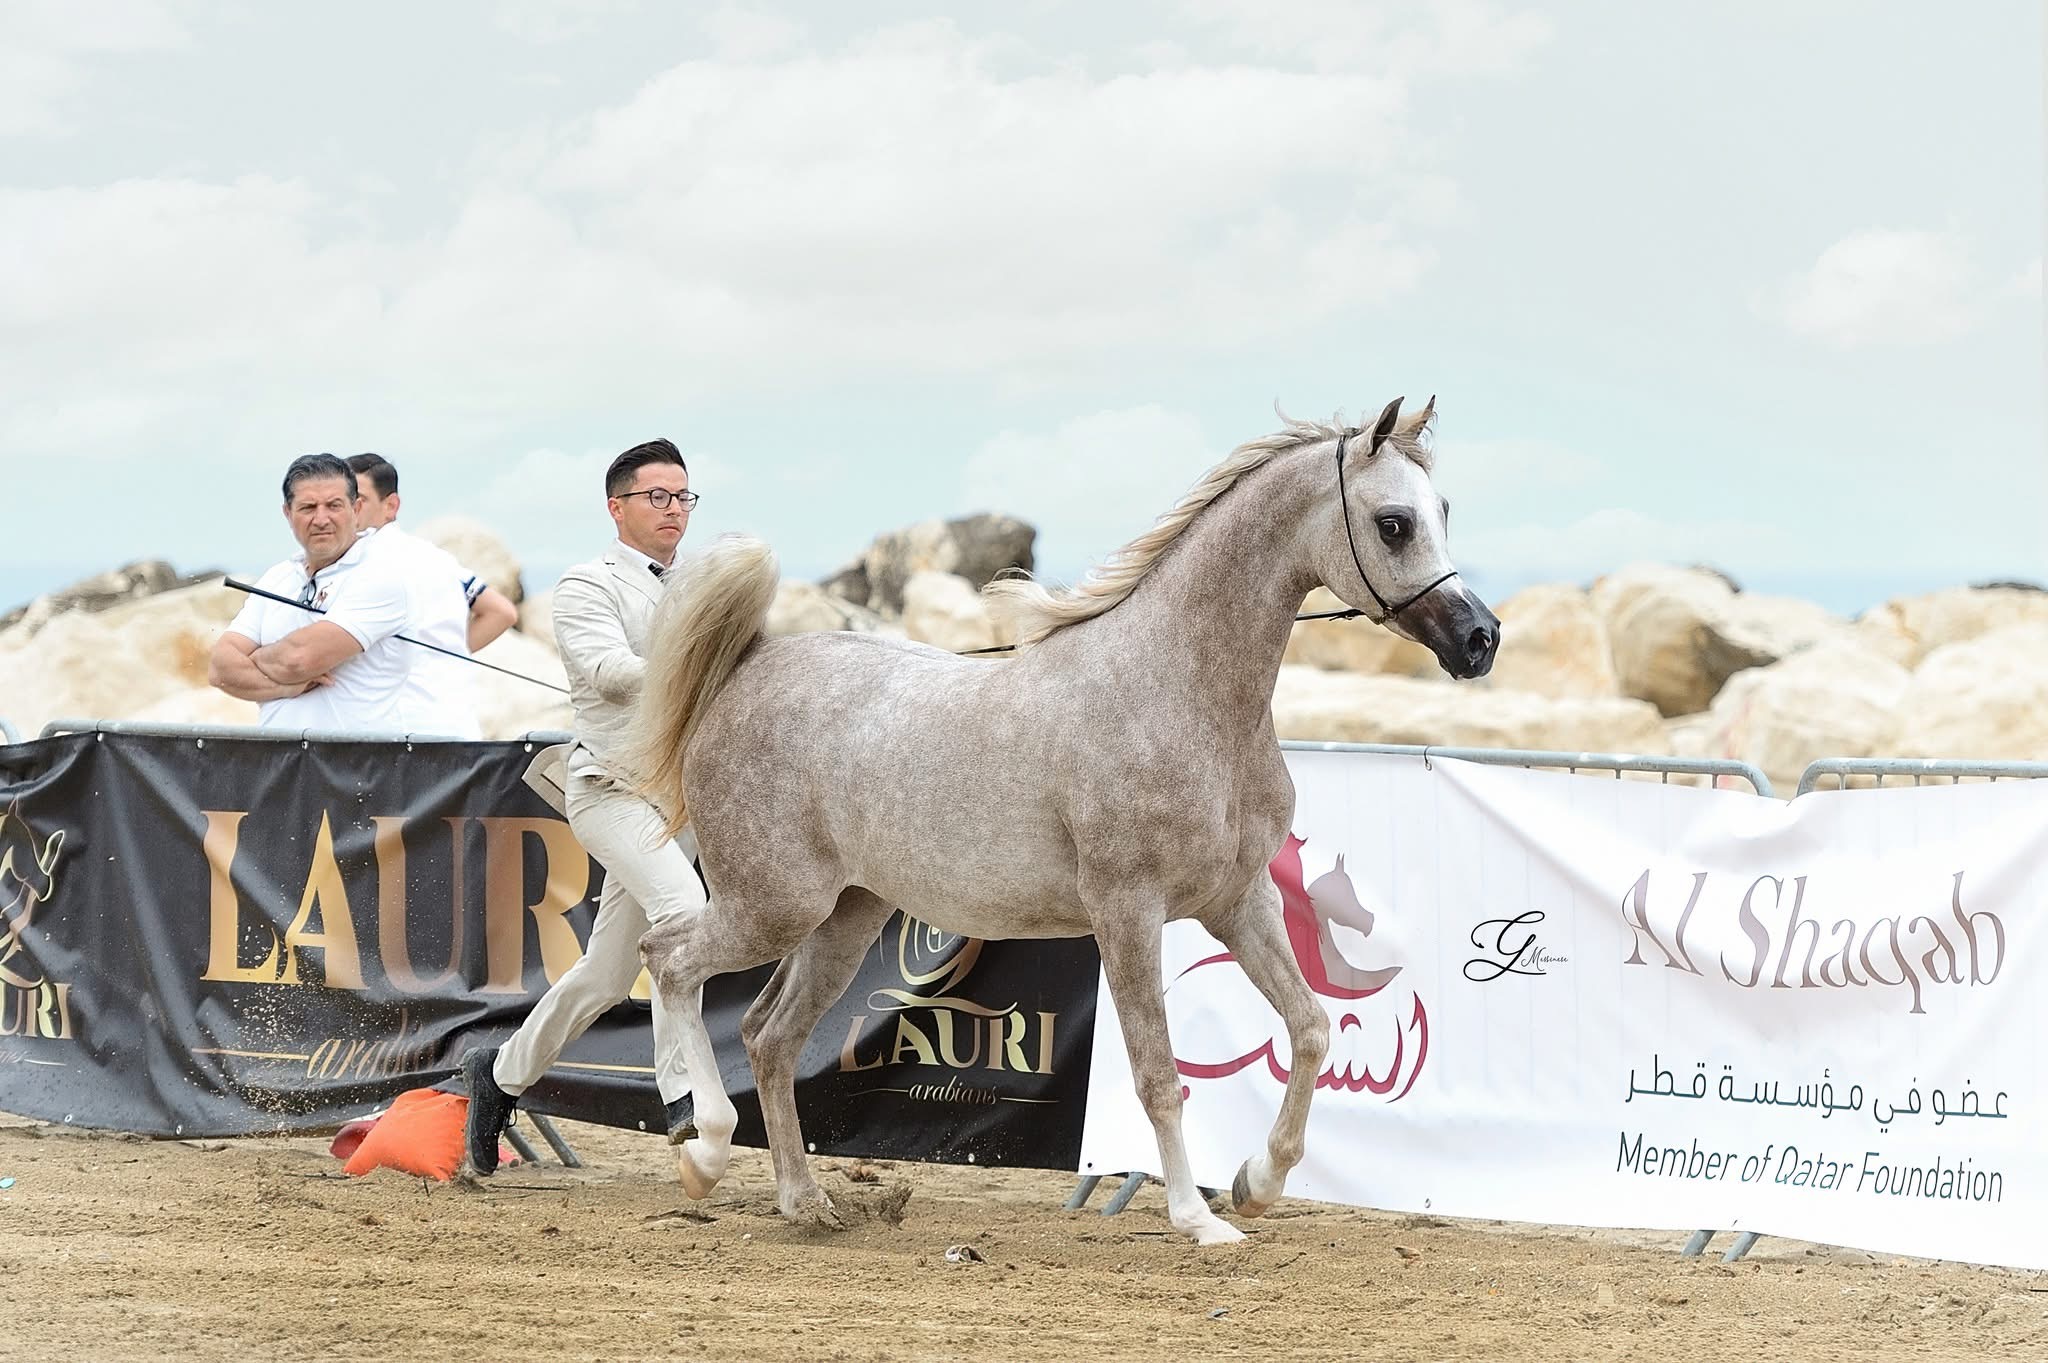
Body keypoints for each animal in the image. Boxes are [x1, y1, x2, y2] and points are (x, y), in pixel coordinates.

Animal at [630, 396, 1498, 1245]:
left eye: (1444, 509)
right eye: (1394, 522)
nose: (1480, 639)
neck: (1177, 690)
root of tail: (750, 666)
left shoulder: (1237, 901)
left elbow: (1311, 1027)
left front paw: (1257, 1183)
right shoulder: (1128, 911)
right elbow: (1158, 1074)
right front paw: (1199, 1220)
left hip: (842, 917)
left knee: (767, 1033)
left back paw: (804, 1201)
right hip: (771, 905)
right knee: (669, 962)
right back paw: (704, 1153)